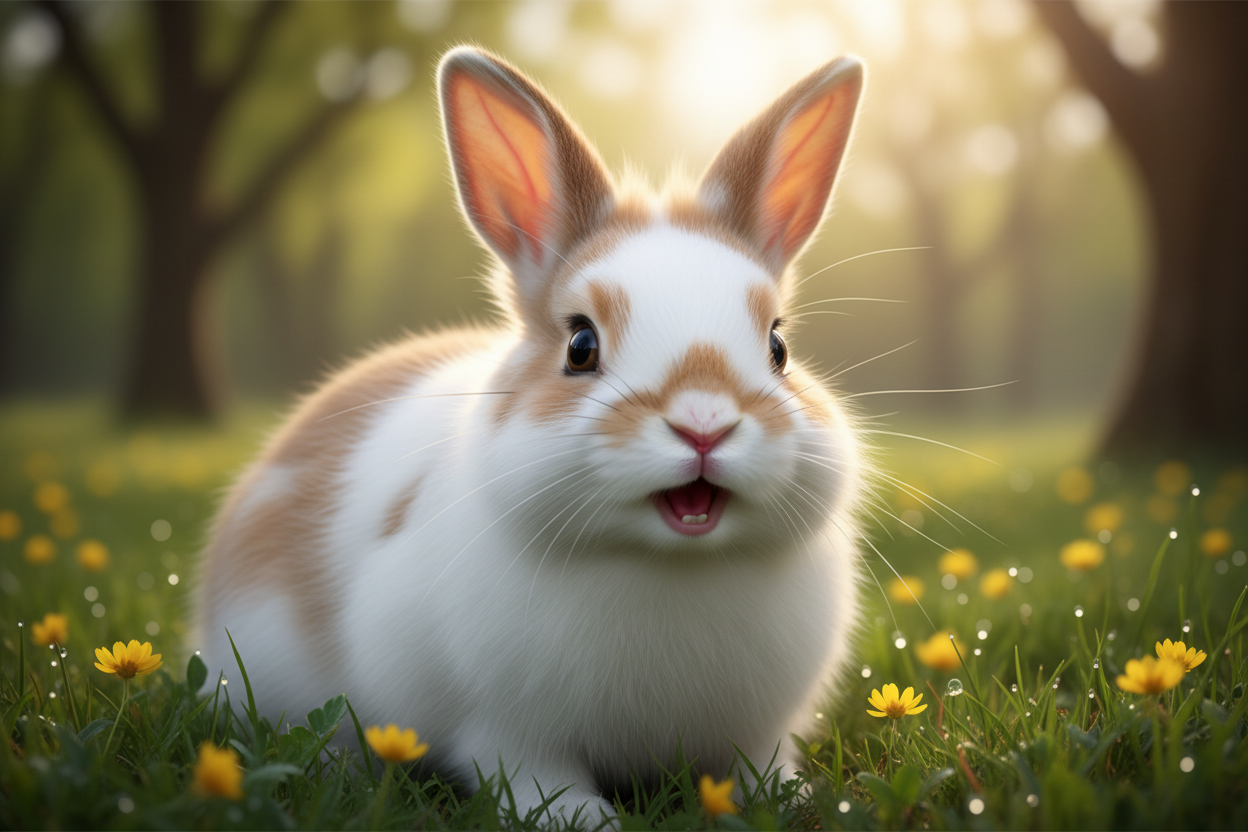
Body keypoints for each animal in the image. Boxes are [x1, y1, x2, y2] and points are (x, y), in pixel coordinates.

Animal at [194, 46, 867, 824]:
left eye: (778, 348)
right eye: (580, 345)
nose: (704, 425)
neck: (667, 563)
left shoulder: (757, 731)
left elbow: (757, 766)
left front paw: (790, 800)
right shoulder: (506, 728)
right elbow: (531, 774)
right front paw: (586, 819)